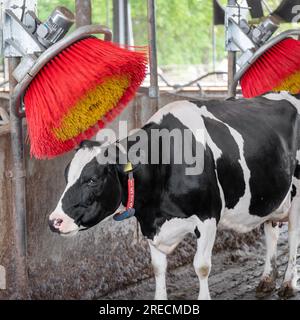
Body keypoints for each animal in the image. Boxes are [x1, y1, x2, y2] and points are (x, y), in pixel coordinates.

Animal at [48, 92, 300, 300]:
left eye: (92, 179)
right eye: (66, 175)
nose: (54, 221)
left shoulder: (207, 217)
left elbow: (202, 266)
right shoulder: (150, 223)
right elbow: (158, 267)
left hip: (297, 199)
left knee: (293, 239)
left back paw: (288, 284)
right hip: (272, 198)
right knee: (271, 233)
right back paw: (267, 280)